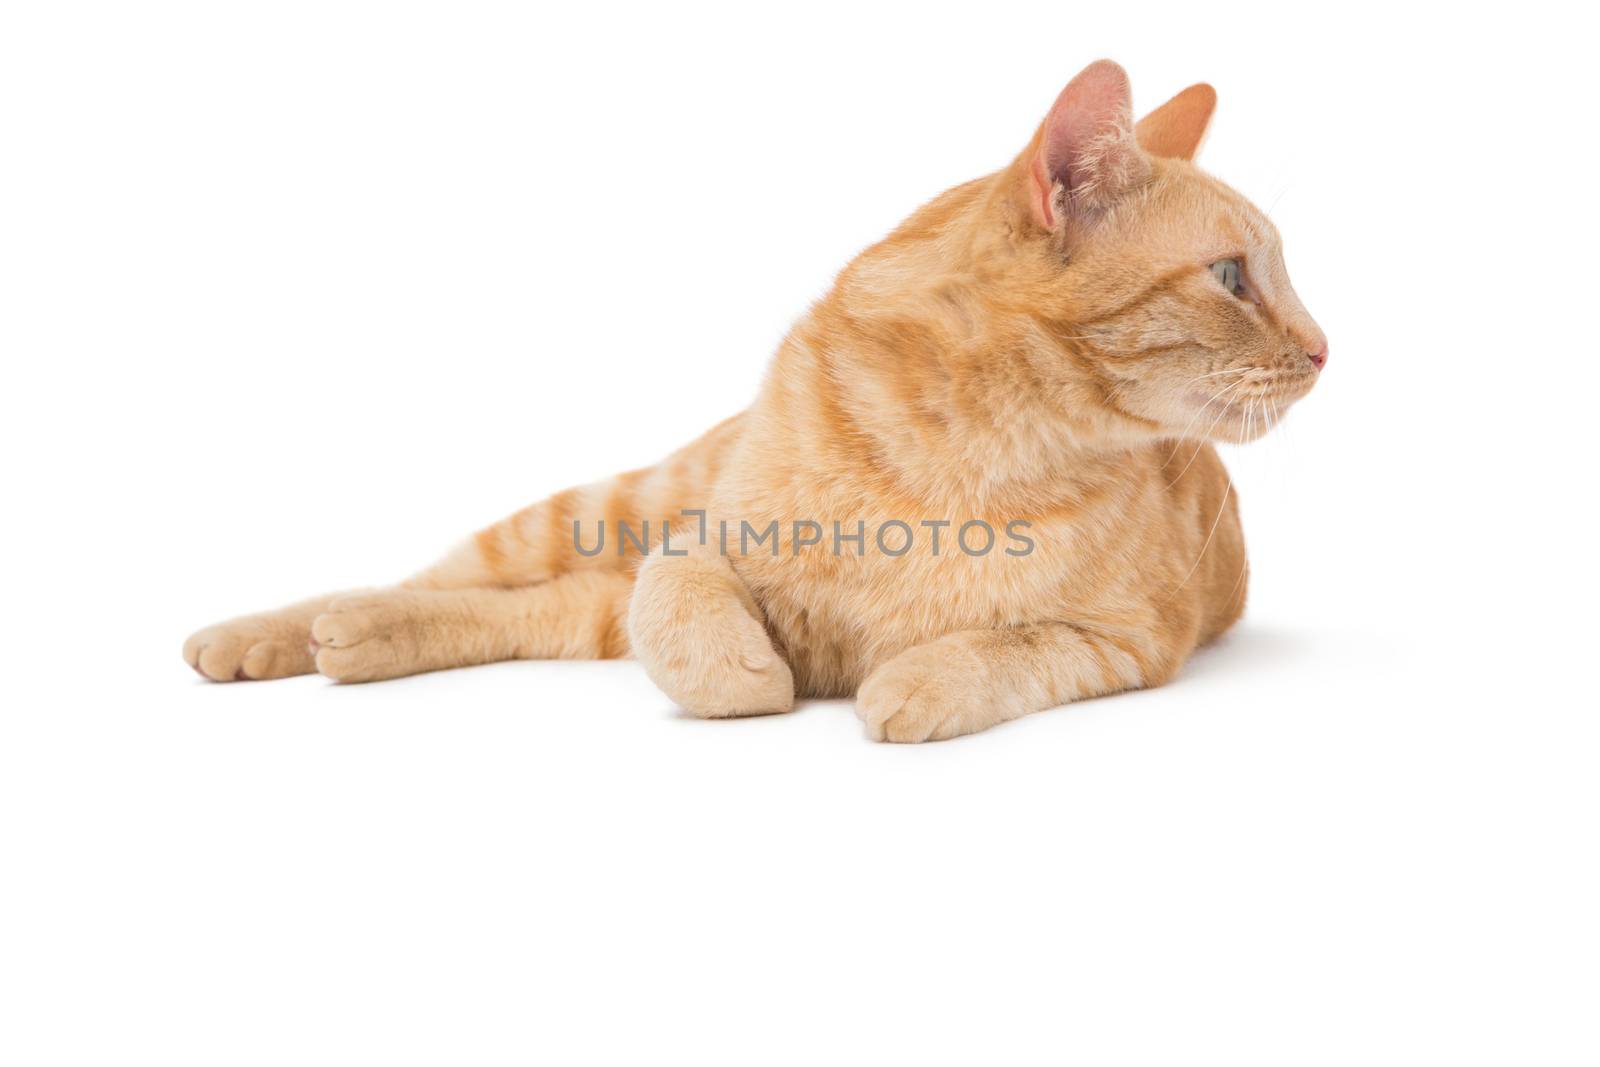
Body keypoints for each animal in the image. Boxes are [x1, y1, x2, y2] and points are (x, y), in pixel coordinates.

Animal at [181, 60, 1324, 742]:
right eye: (1233, 277)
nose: (1324, 348)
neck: (963, 452)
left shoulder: (1129, 640)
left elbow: (1014, 648)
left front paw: (911, 681)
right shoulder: (705, 537)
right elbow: (675, 588)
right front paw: (742, 671)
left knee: (537, 606)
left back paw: (340, 641)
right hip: (614, 501)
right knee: (458, 575)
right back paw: (278, 630)